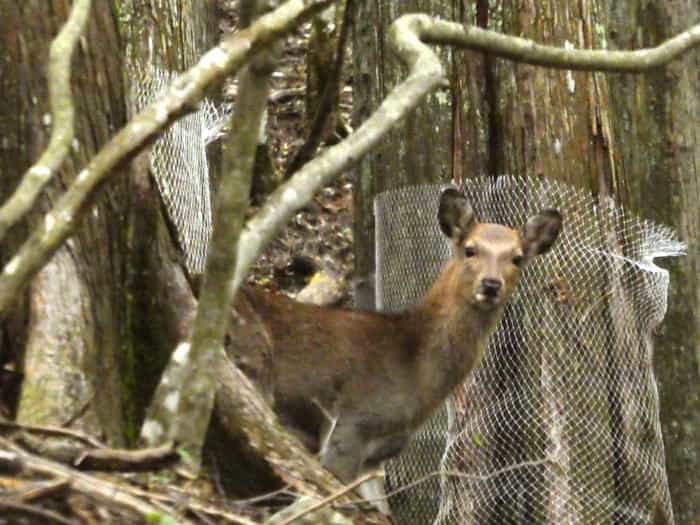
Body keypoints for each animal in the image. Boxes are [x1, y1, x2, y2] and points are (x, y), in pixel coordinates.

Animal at [230, 187, 564, 512]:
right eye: (470, 249)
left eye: (517, 258)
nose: (491, 284)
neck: (413, 367)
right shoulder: (351, 422)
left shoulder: (376, 456)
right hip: (253, 363)